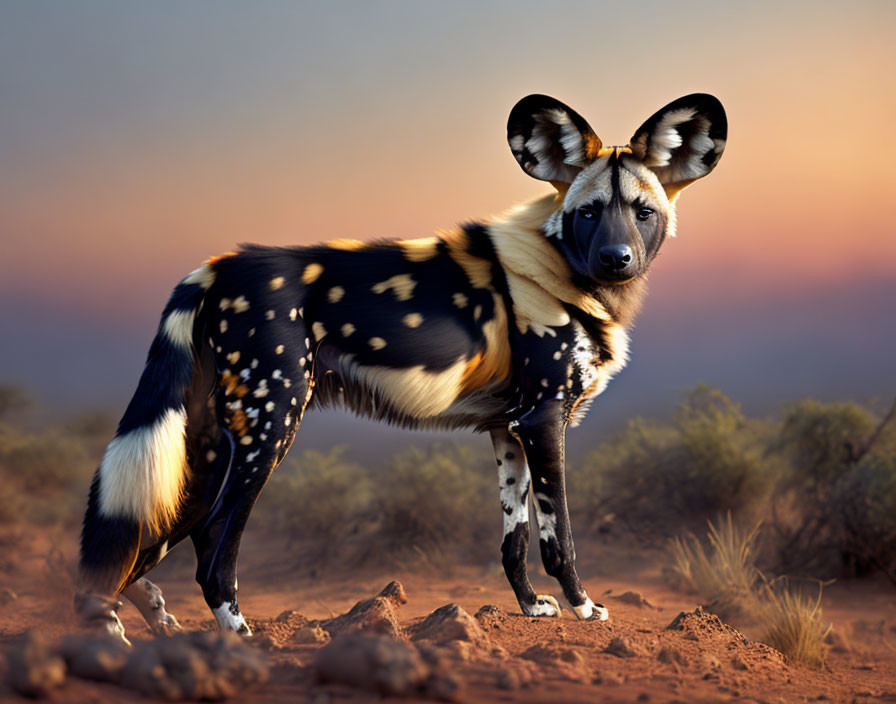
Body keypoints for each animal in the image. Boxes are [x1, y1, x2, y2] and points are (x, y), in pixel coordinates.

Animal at [79, 92, 728, 640]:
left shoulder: (508, 429)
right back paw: (236, 634)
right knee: (212, 543)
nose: (616, 259)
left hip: (213, 447)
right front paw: (583, 607)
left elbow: (514, 540)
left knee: (141, 548)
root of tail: (218, 266)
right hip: (270, 430)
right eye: (589, 213)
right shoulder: (544, 422)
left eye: (642, 213)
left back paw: (131, 632)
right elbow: (558, 536)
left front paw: (529, 607)